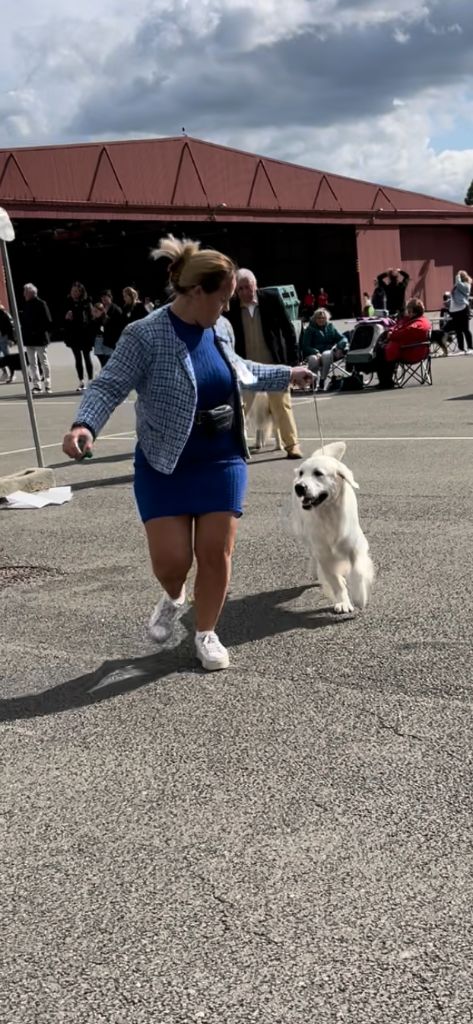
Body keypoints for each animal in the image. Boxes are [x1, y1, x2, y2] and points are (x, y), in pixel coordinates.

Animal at [292, 442, 372, 614]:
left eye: (318, 473)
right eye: (301, 473)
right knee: (312, 554)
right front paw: (343, 603)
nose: (299, 487)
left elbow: (357, 570)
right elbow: (336, 582)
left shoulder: (356, 546)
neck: (329, 515)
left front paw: (359, 597)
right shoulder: (324, 554)